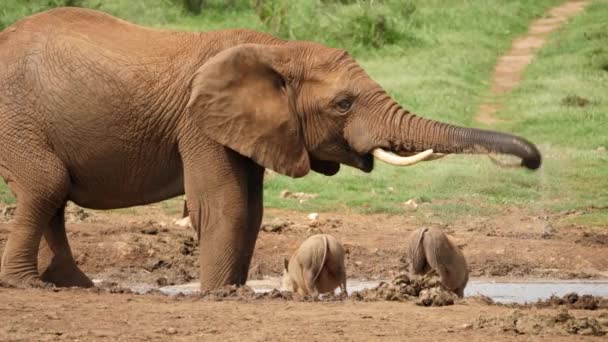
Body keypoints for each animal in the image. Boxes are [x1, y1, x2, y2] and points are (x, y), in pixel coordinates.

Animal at [0, 7, 540, 288]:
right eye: (343, 104)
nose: (531, 161)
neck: (278, 49)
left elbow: (252, 209)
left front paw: (233, 290)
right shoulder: (199, 124)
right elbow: (226, 207)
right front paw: (219, 295)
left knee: (53, 193)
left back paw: (72, 285)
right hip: (17, 120)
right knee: (46, 185)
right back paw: (29, 286)